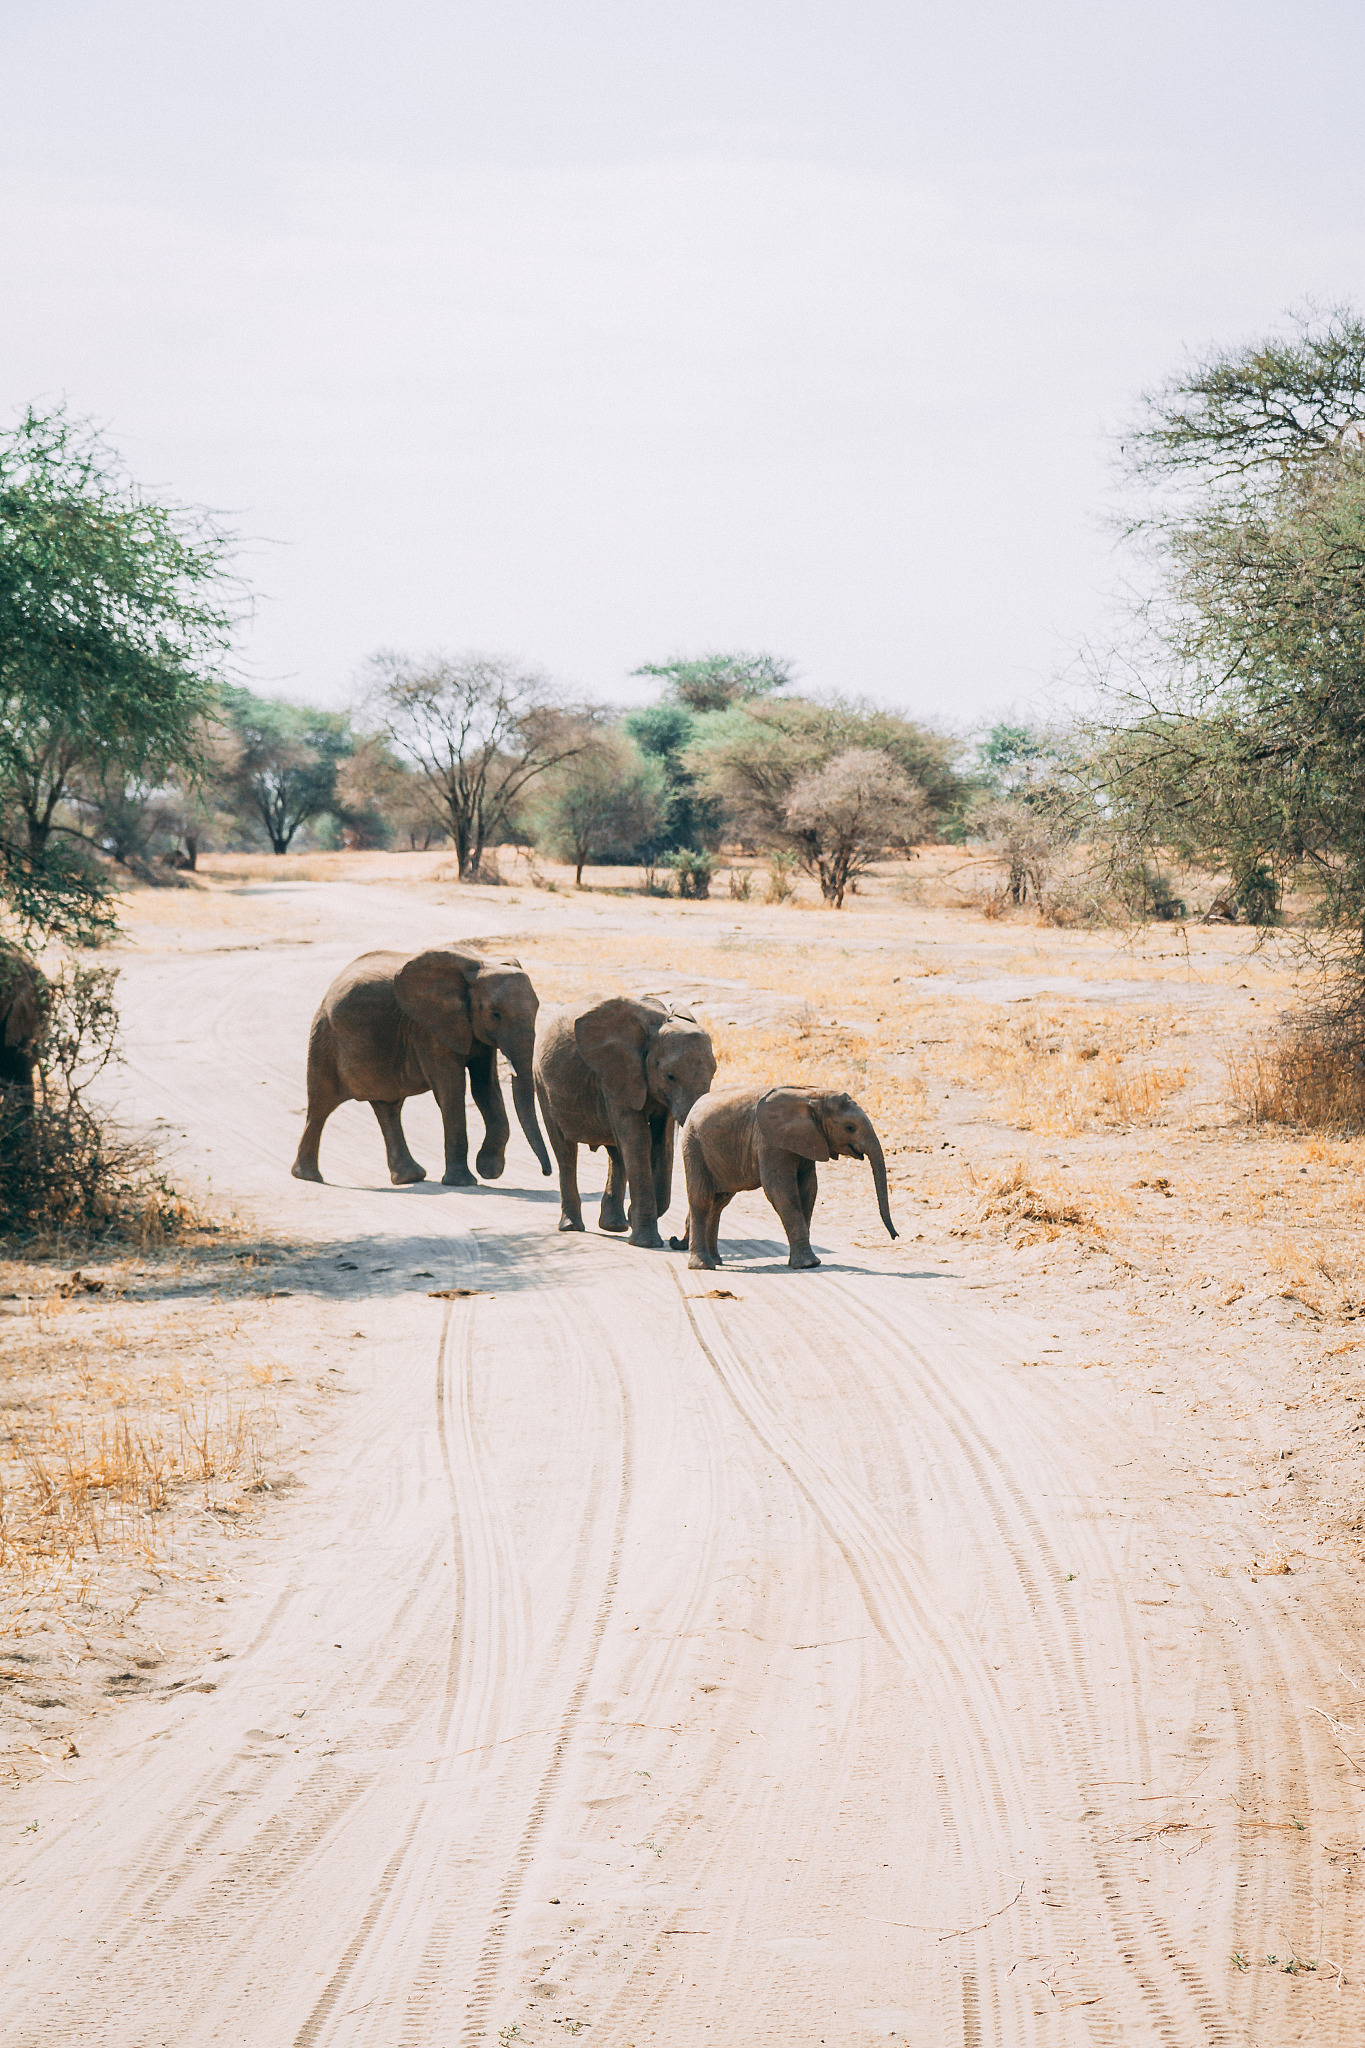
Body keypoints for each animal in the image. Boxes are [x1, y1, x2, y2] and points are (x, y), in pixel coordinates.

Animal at [291, 945, 552, 1188]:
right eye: (496, 1014)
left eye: (537, 1009)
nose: (546, 1172)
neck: (479, 966)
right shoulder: (429, 1028)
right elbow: (452, 1090)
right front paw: (464, 1181)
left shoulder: (474, 1030)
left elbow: (485, 1087)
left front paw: (489, 1169)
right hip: (325, 1039)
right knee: (321, 1106)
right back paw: (308, 1176)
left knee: (388, 1108)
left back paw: (410, 1177)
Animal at [533, 995, 717, 1248]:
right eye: (670, 1076)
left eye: (714, 1073)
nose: (675, 1240)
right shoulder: (617, 1074)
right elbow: (638, 1140)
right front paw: (646, 1242)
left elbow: (662, 1143)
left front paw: (635, 1219)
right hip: (541, 1082)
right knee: (565, 1151)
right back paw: (572, 1226)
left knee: (616, 1152)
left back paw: (615, 1226)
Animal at [673, 1085, 897, 1270]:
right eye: (850, 1127)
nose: (895, 1236)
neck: (812, 1095)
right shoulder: (769, 1141)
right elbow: (780, 1190)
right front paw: (808, 1264)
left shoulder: (807, 1140)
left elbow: (808, 1189)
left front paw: (804, 1261)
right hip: (693, 1144)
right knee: (701, 1199)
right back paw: (703, 1265)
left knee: (719, 1202)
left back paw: (716, 1260)